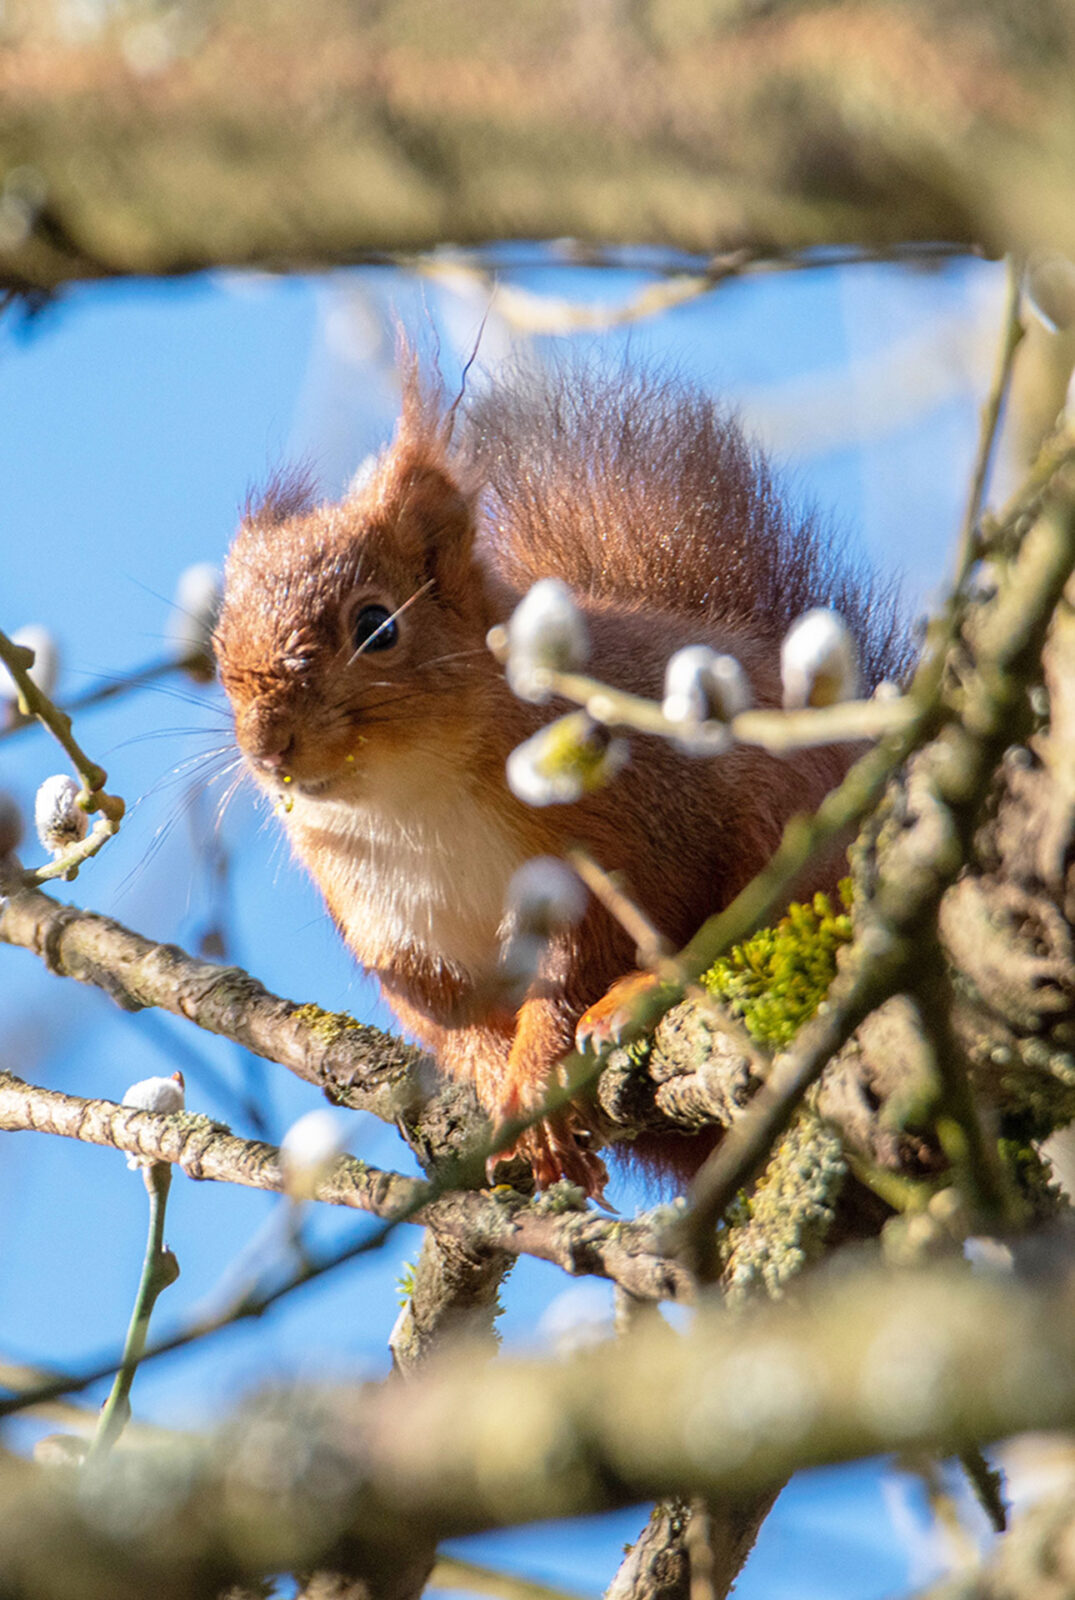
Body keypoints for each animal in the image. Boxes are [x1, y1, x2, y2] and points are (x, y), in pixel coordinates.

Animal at [214, 354, 907, 1199]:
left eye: (376, 627)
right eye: (220, 648)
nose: (267, 746)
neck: (410, 804)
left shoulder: (626, 836)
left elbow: (583, 961)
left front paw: (535, 1075)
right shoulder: (395, 938)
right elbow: (450, 1022)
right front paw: (494, 1082)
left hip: (786, 824)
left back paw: (638, 999)